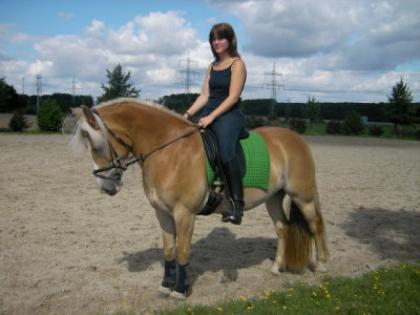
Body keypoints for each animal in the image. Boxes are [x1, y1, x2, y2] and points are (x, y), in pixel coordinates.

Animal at [71, 97, 328, 300]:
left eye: (96, 144)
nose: (106, 187)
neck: (169, 152)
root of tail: (296, 139)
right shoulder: (162, 213)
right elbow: (169, 250)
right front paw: (165, 286)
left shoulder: (184, 213)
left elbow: (183, 251)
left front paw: (180, 291)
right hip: (274, 198)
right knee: (283, 227)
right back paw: (276, 268)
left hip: (302, 196)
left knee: (315, 225)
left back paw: (322, 267)